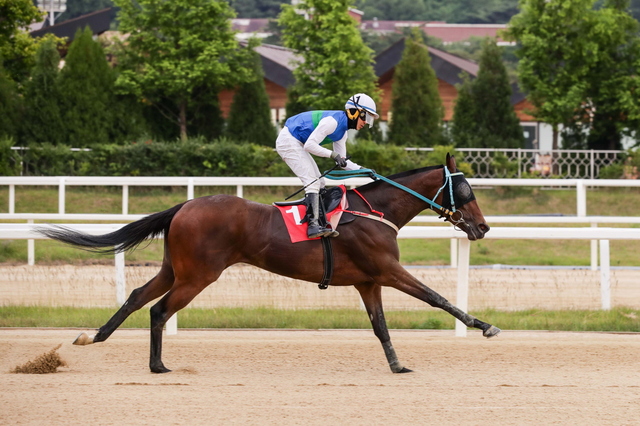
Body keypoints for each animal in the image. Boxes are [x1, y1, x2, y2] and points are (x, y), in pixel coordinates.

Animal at [37, 153, 500, 372]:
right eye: (467, 190)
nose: (482, 227)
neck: (374, 211)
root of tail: (184, 205)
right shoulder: (387, 271)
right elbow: (437, 298)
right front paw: (484, 326)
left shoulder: (368, 281)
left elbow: (381, 327)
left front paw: (397, 365)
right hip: (199, 274)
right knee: (160, 309)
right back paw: (157, 365)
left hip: (176, 268)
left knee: (137, 296)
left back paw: (93, 337)